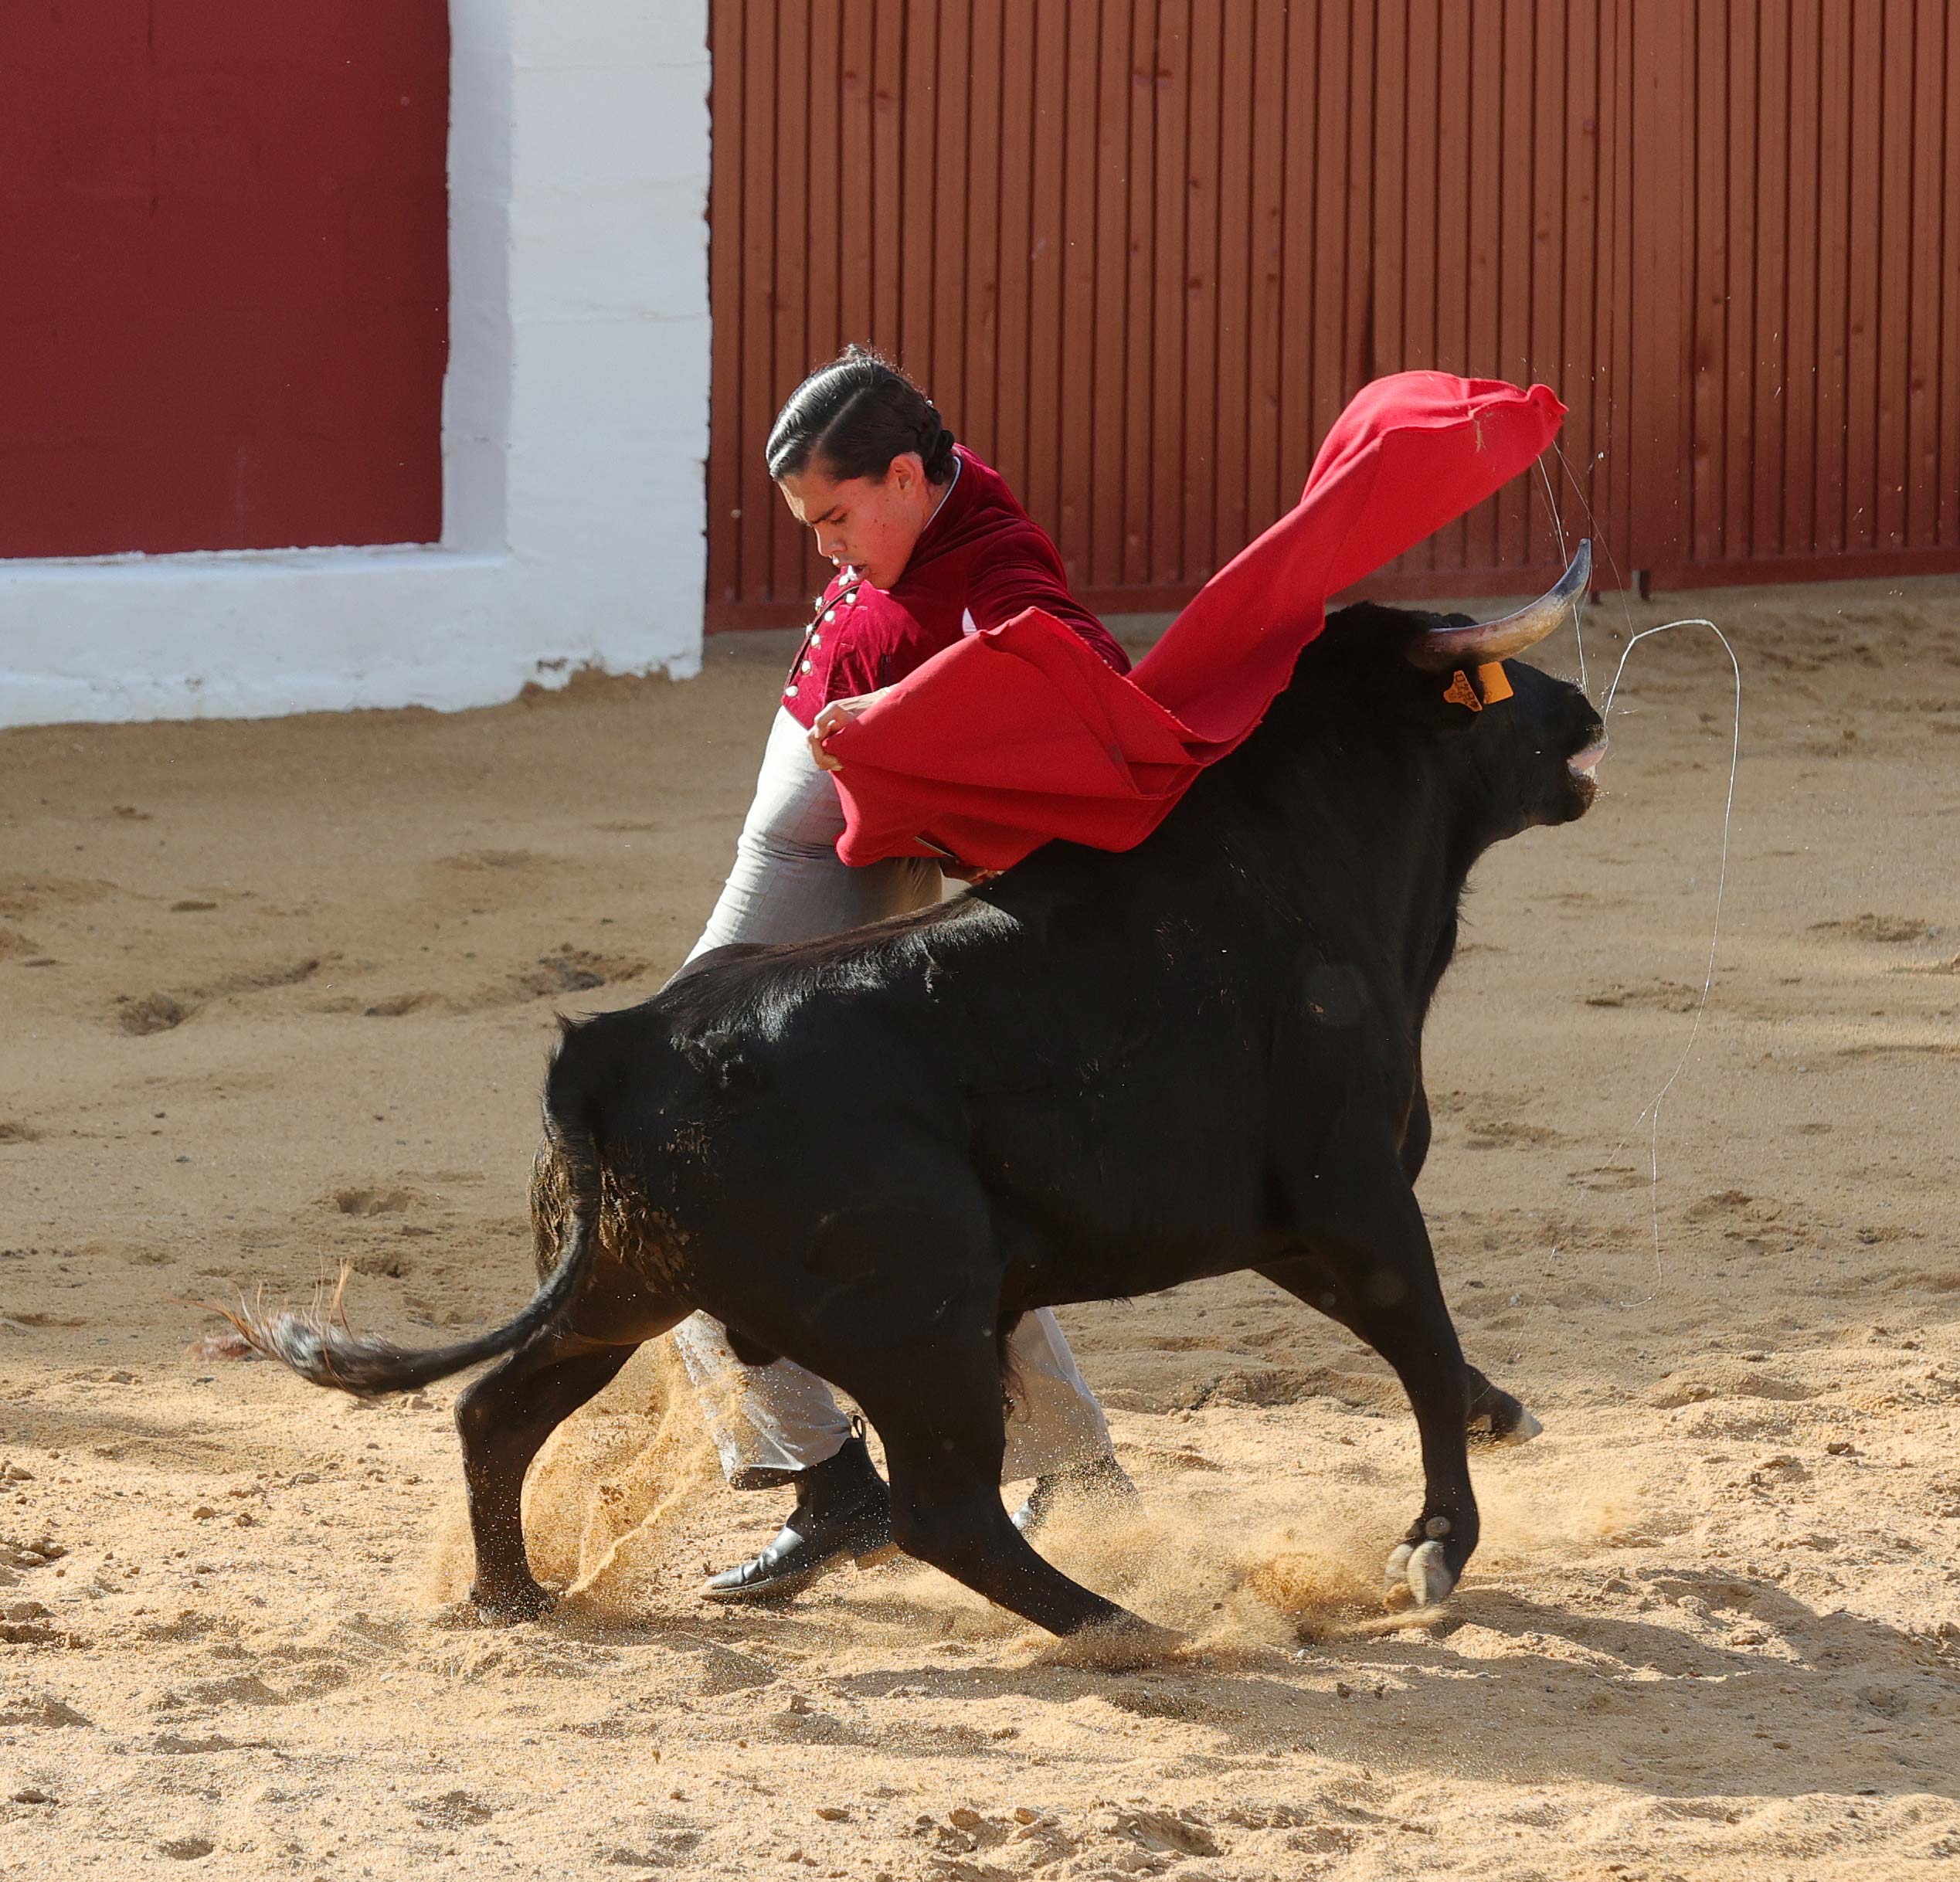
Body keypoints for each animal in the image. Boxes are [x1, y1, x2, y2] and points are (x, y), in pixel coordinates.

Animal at [233, 552, 1607, 1639]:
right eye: (1498, 691)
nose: (1587, 705)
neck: (1307, 850)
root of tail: (614, 1051)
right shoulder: (1353, 1192)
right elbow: (1418, 1341)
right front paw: (1433, 1548)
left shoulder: (1280, 1225)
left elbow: (1434, 1354)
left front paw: (1502, 1419)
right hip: (925, 1319)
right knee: (945, 1512)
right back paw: (1136, 1627)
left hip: (622, 1290)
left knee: (496, 1412)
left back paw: (510, 1599)